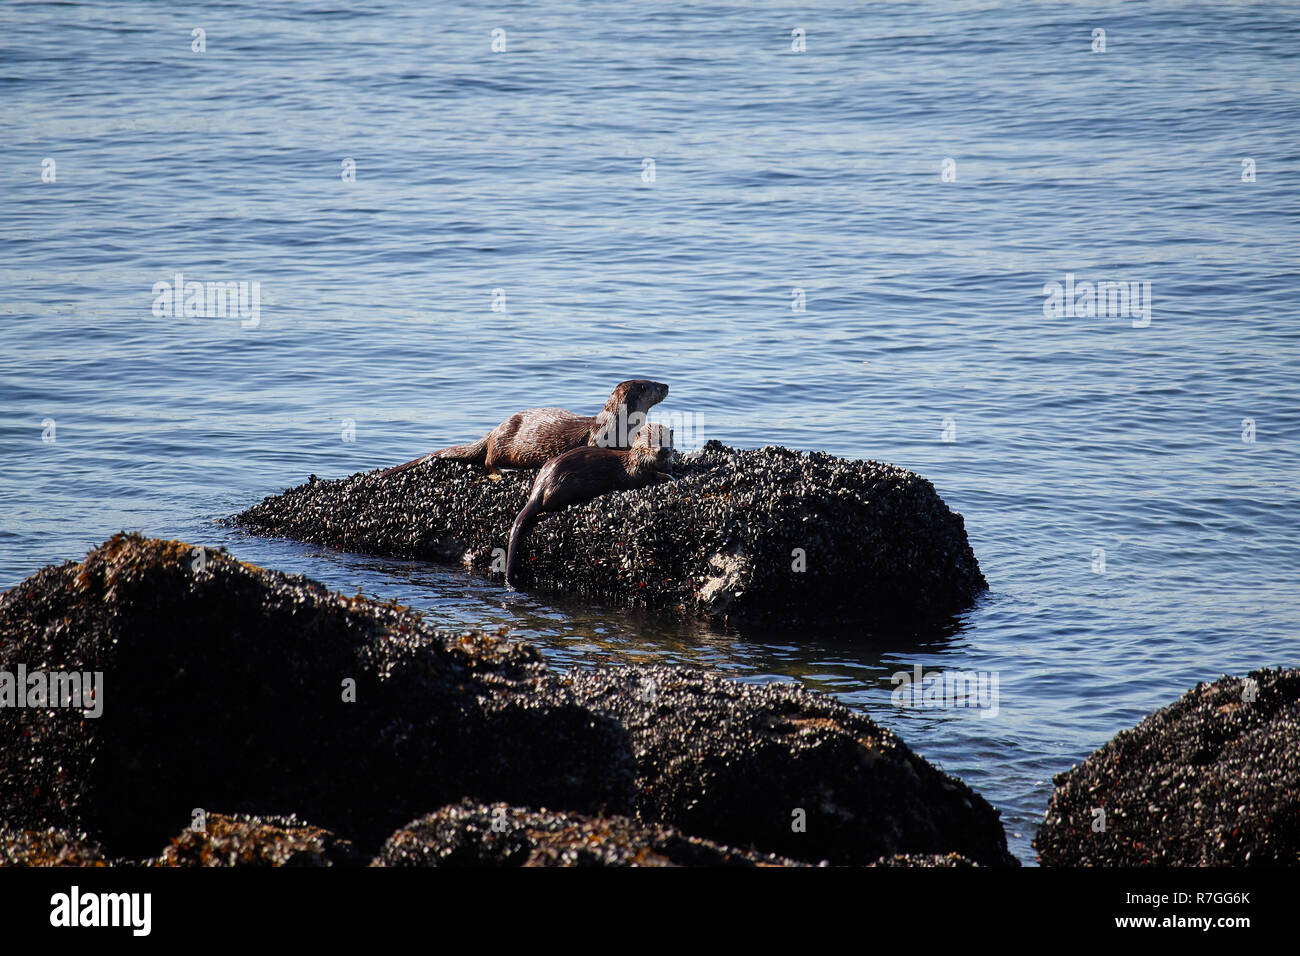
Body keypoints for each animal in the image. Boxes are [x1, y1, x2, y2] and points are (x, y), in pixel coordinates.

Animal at [379, 379, 669, 479]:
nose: (667, 385)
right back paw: (505, 470)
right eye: (653, 385)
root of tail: (493, 430)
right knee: (488, 461)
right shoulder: (597, 439)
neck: (619, 425)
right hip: (501, 442)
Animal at [505, 422, 674, 588]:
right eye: (650, 441)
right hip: (564, 484)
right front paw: (667, 476)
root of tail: (540, 484)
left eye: (666, 439)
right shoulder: (634, 471)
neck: (634, 459)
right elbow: (644, 477)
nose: (662, 450)